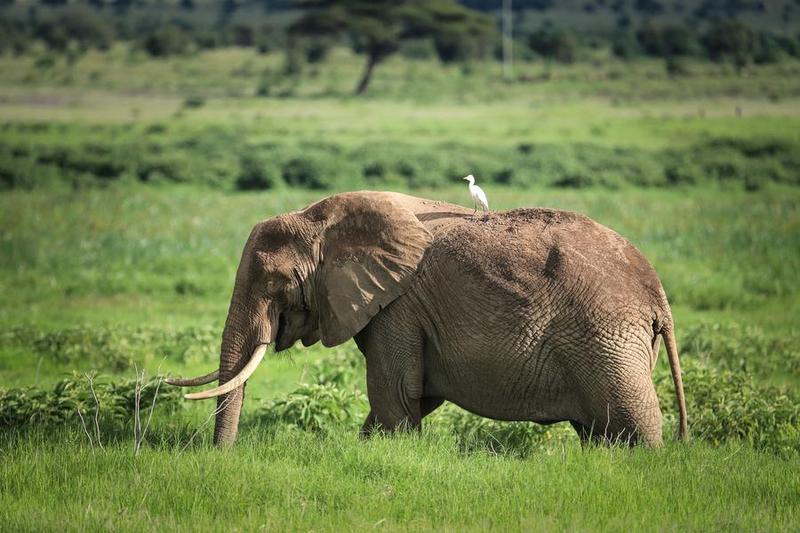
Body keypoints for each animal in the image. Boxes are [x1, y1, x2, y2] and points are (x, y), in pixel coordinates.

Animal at [169, 189, 688, 446]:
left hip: (607, 339)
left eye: (274, 283)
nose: (222, 457)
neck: (320, 217)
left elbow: (396, 391)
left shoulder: (400, 306)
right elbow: (415, 396)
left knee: (634, 425)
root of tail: (658, 293)